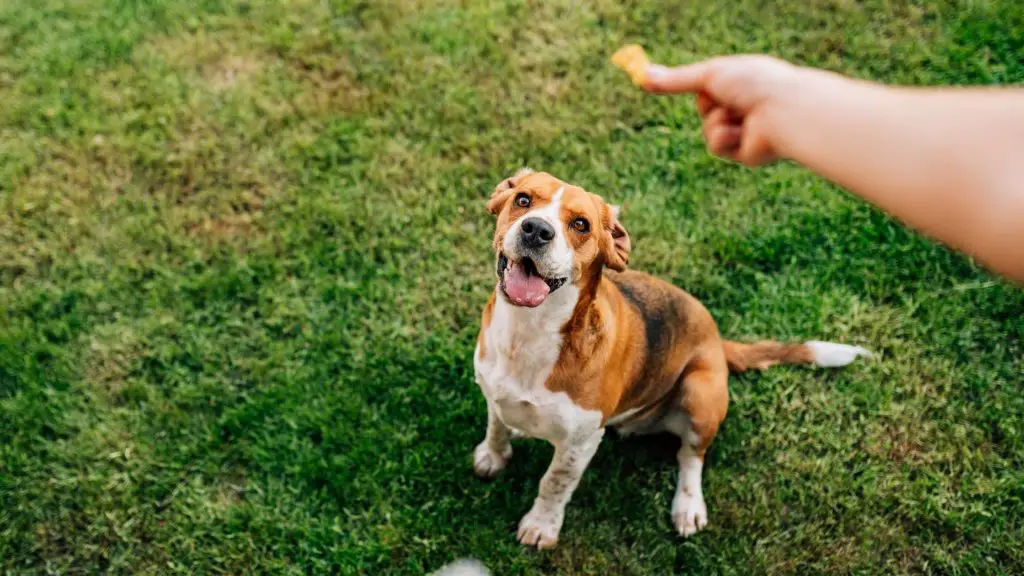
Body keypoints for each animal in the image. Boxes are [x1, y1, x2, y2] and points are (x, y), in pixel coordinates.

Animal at [471, 167, 872, 545]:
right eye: (523, 200)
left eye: (580, 224)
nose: (536, 230)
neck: (529, 332)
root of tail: (717, 339)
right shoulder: (493, 392)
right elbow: (496, 426)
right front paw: (493, 456)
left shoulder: (579, 443)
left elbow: (554, 483)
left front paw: (541, 526)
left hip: (700, 393)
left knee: (691, 456)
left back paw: (688, 506)